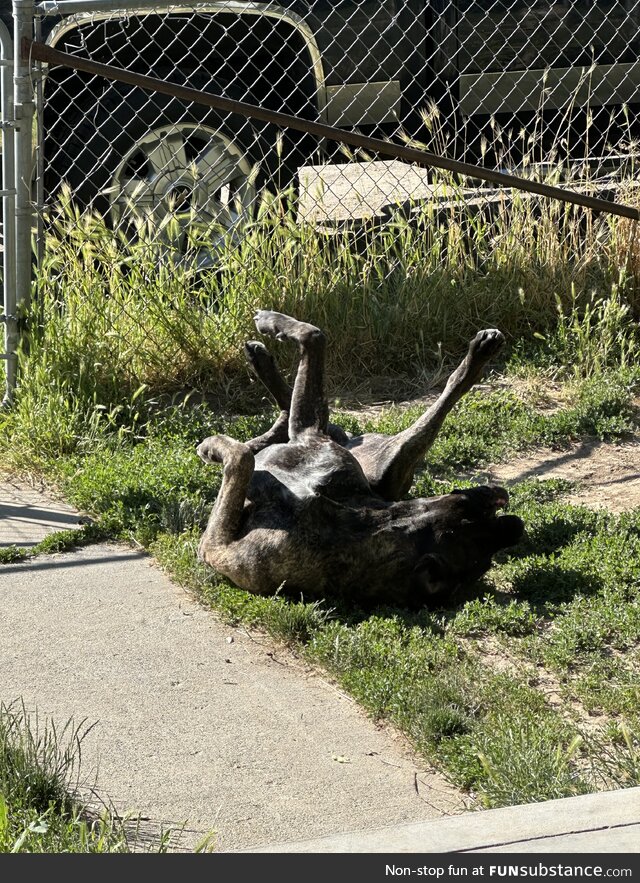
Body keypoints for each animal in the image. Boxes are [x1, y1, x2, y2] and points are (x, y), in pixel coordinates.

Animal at [198, 310, 524, 608]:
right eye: (473, 505)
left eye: (484, 561)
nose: (515, 522)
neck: (366, 524)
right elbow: (313, 348)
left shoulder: (217, 547)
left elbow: (242, 455)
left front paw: (212, 446)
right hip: (381, 458)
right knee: (308, 413)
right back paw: (261, 361)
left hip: (390, 453)